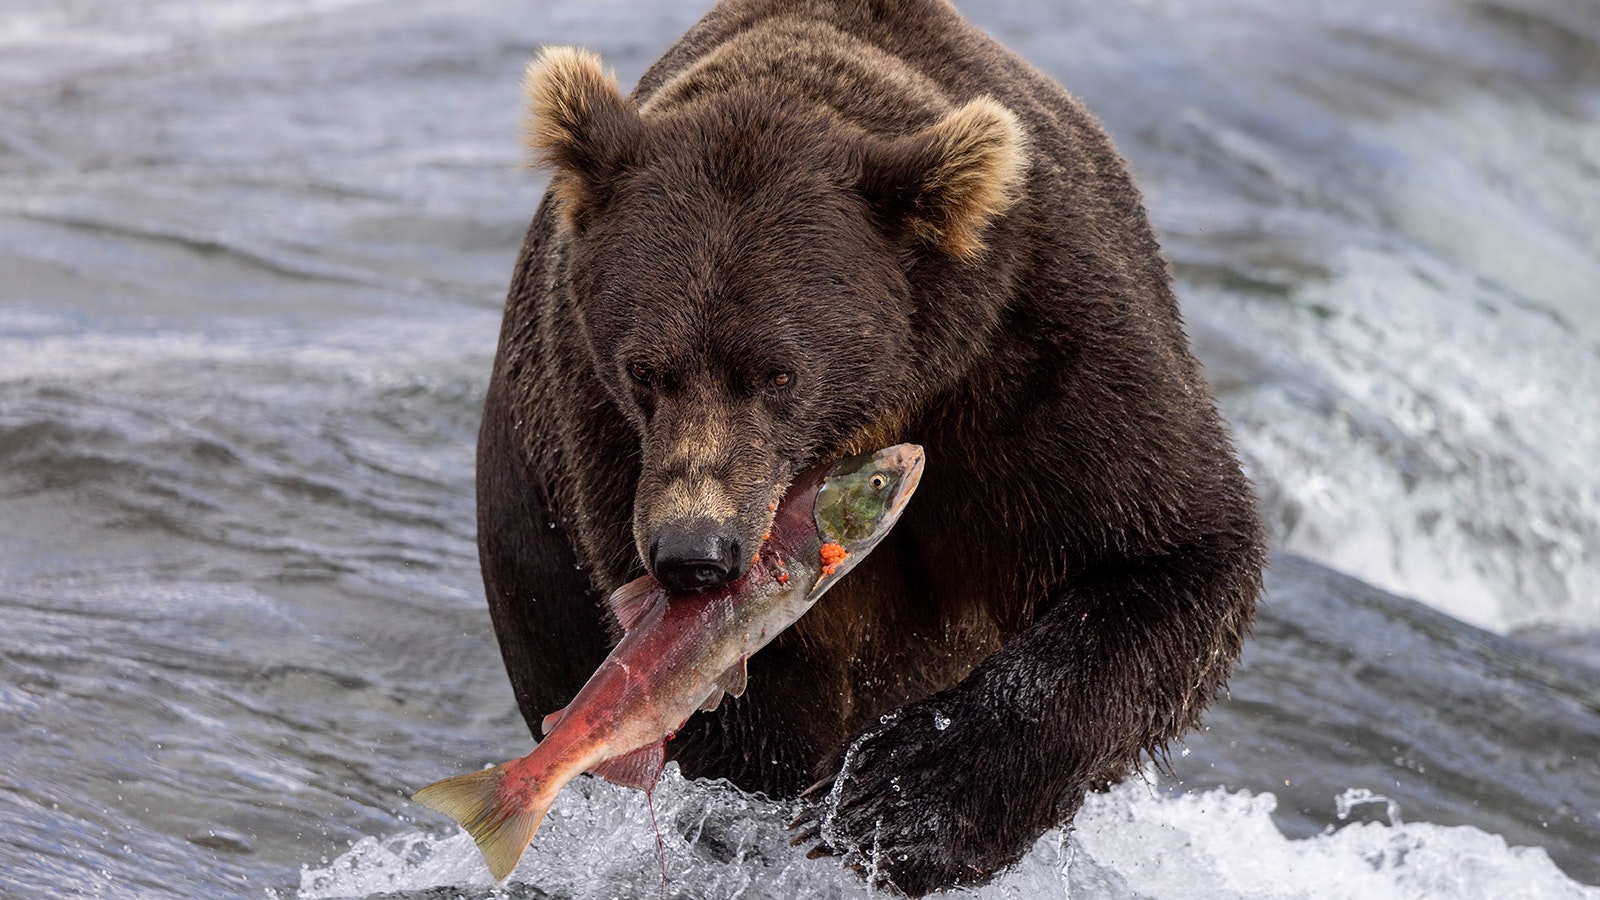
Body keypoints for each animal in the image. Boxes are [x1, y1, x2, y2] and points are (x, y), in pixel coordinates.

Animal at [474, 0, 1265, 894]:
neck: (887, 404)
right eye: (645, 369)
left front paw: (895, 800)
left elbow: (1174, 553)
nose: (693, 554)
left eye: (777, 373)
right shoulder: (603, 435)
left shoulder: (1041, 362)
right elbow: (728, 697)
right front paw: (800, 800)